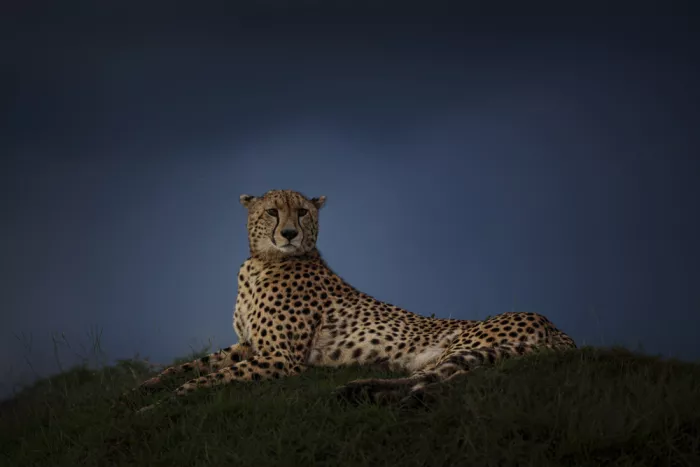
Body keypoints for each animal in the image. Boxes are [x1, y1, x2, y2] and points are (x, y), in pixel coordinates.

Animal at [127, 189, 576, 412]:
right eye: (272, 211)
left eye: (303, 212)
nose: (289, 233)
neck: (263, 262)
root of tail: (558, 327)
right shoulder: (249, 345)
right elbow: (190, 366)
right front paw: (143, 390)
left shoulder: (280, 360)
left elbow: (205, 379)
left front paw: (163, 405)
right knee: (436, 377)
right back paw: (365, 391)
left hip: (468, 344)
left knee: (453, 381)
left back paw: (385, 396)